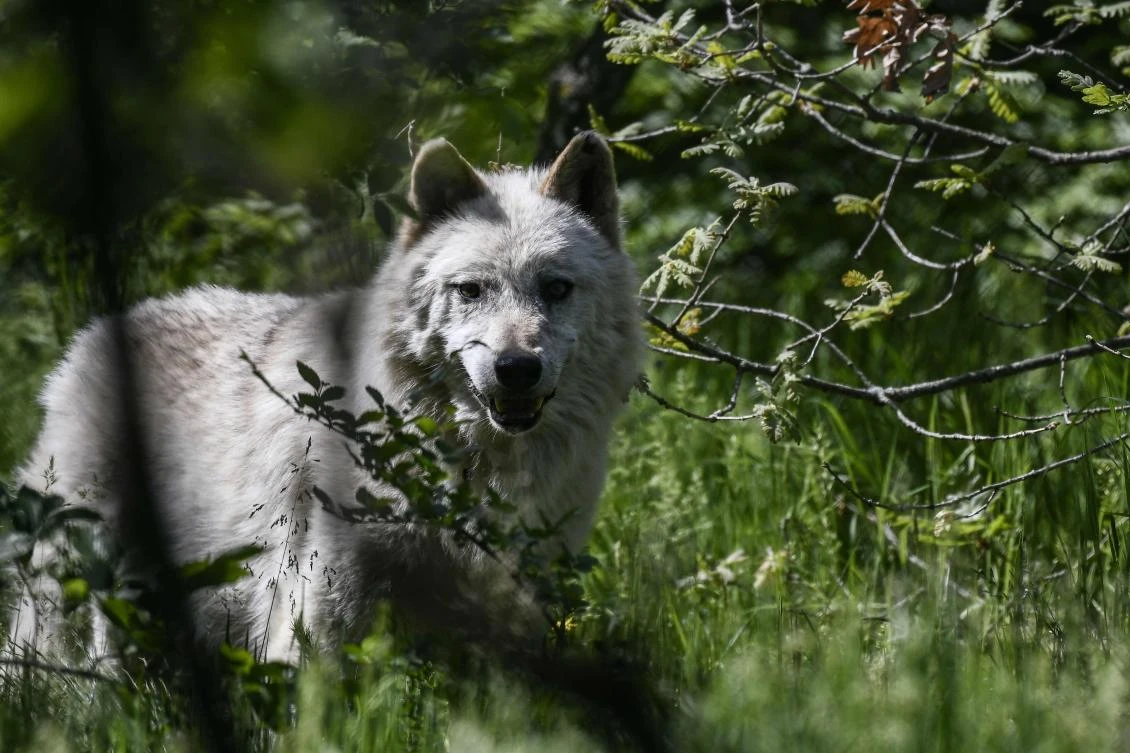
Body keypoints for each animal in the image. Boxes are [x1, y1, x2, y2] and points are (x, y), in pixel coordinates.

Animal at [7, 131, 642, 663]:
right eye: (471, 291)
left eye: (556, 289)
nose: (516, 369)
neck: (467, 466)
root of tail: (102, 330)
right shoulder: (324, 599)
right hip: (79, 567)